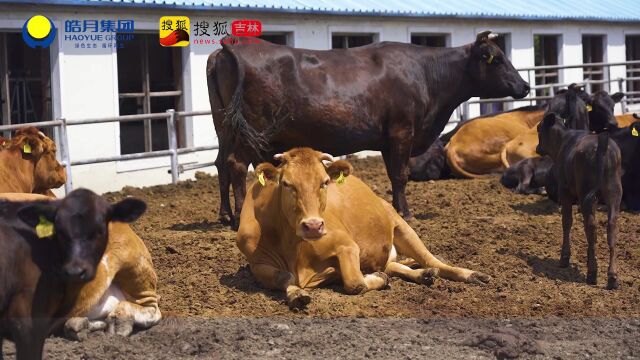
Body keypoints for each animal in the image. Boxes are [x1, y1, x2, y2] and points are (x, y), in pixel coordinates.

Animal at [208, 31, 528, 225]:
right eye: (496, 59)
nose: (525, 86)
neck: (426, 74)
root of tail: (232, 46)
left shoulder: (387, 139)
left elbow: (394, 175)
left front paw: (397, 209)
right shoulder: (402, 132)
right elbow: (401, 175)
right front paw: (406, 214)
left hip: (225, 126)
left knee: (221, 163)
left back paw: (225, 215)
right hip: (251, 132)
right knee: (237, 165)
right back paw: (240, 215)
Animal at [235, 148, 490, 308]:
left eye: (324, 182)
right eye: (287, 184)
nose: (313, 226)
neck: (293, 247)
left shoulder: (346, 244)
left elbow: (354, 282)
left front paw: (375, 279)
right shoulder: (258, 264)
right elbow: (284, 277)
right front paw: (296, 294)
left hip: (402, 227)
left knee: (432, 260)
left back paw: (471, 274)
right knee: (394, 265)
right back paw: (422, 274)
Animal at [536, 114, 624, 288]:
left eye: (538, 128)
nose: (537, 148)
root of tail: (602, 143)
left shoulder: (564, 191)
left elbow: (567, 221)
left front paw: (564, 258)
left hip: (586, 195)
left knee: (590, 227)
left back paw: (592, 273)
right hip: (614, 192)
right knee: (612, 227)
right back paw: (612, 277)